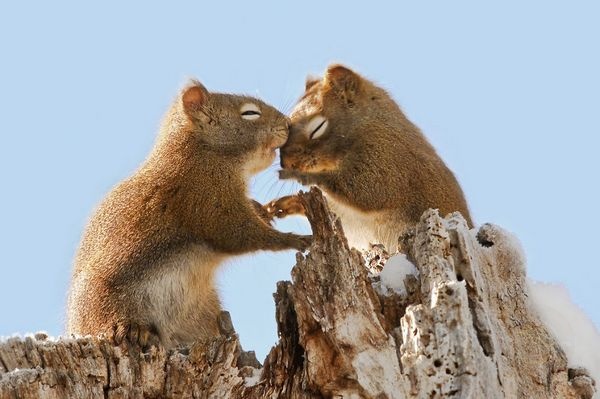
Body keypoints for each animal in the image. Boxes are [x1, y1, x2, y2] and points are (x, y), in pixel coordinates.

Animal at [65, 81, 312, 350]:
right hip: (106, 301)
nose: (288, 124)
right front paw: (293, 239)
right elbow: (240, 233)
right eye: (249, 113)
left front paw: (261, 208)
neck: (203, 151)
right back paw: (132, 329)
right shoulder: (207, 199)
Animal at [270, 65, 472, 253]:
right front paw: (287, 203)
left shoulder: (390, 160)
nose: (286, 163)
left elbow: (368, 191)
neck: (367, 124)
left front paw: (301, 176)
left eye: (317, 128)